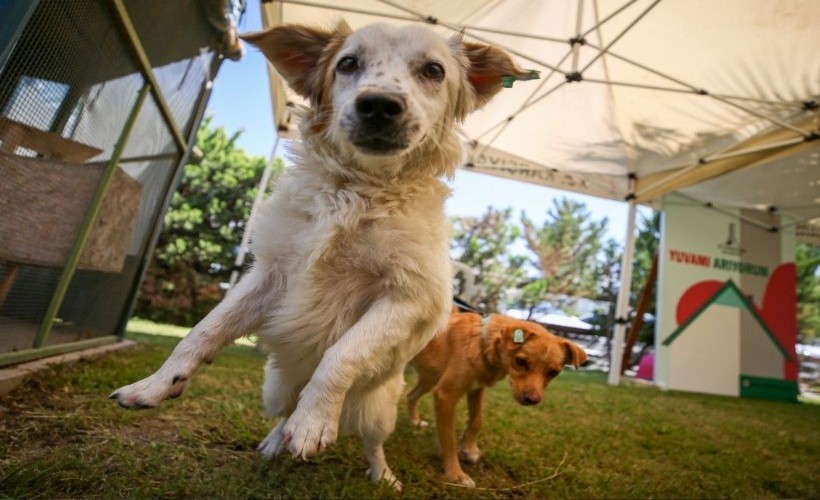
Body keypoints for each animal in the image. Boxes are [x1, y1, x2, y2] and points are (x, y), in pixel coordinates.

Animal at [110, 21, 524, 490]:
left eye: (434, 70)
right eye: (347, 63)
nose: (379, 105)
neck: (359, 190)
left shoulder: (406, 298)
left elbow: (342, 353)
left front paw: (314, 422)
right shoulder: (270, 275)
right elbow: (202, 332)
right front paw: (155, 385)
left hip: (381, 408)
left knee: (370, 441)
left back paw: (381, 474)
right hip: (275, 388)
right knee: (283, 412)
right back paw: (274, 444)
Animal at [406, 310, 588, 486]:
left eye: (554, 372)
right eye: (520, 361)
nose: (532, 400)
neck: (481, 341)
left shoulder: (476, 389)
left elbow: (477, 420)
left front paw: (469, 449)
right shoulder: (445, 395)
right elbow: (449, 440)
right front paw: (455, 474)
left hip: (429, 379)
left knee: (410, 396)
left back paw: (415, 421)